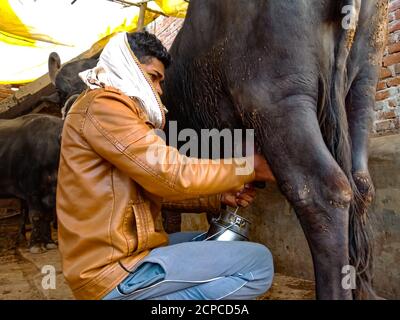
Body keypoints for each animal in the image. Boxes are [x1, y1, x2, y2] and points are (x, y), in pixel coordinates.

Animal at [0, 114, 62, 252]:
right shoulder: (32, 191)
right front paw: (36, 245)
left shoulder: (51, 192)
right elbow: (36, 215)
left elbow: (47, 216)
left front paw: (49, 242)